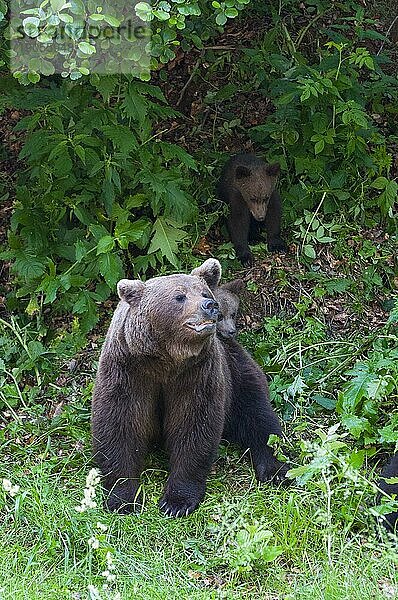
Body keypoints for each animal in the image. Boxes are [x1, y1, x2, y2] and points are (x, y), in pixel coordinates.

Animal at [92, 258, 286, 516]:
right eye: (179, 296)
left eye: (204, 292)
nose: (210, 305)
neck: (166, 360)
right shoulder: (128, 373)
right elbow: (119, 426)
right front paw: (123, 498)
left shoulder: (197, 374)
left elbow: (194, 426)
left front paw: (177, 502)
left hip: (237, 373)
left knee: (258, 417)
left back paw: (276, 470)